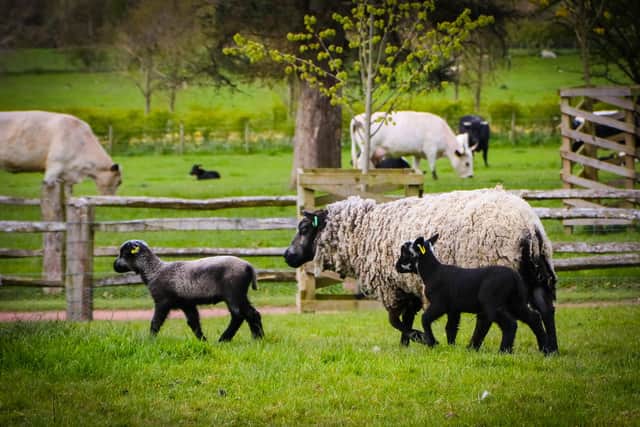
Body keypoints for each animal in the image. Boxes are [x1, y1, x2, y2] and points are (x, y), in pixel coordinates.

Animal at [113, 240, 263, 342]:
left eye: (123, 253)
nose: (114, 265)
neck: (154, 270)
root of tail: (248, 266)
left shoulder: (162, 301)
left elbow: (156, 322)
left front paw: (150, 341)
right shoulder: (187, 304)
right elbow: (194, 323)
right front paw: (203, 341)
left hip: (233, 293)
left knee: (238, 315)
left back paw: (224, 339)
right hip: (241, 295)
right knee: (252, 314)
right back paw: (258, 338)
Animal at [395, 234, 548, 354]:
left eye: (405, 252)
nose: (396, 266)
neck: (432, 272)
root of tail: (514, 277)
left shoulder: (440, 304)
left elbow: (425, 319)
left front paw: (432, 342)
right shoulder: (453, 308)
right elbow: (451, 327)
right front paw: (451, 347)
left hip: (493, 302)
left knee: (511, 324)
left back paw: (504, 351)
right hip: (516, 301)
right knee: (533, 318)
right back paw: (546, 349)